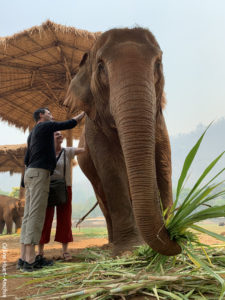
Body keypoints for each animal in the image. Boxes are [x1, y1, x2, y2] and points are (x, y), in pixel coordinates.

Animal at [64, 27, 182, 255]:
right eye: (101, 66)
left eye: (158, 63)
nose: (175, 238)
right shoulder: (95, 133)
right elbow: (111, 169)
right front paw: (129, 248)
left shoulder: (159, 123)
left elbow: (163, 163)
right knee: (102, 197)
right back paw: (111, 243)